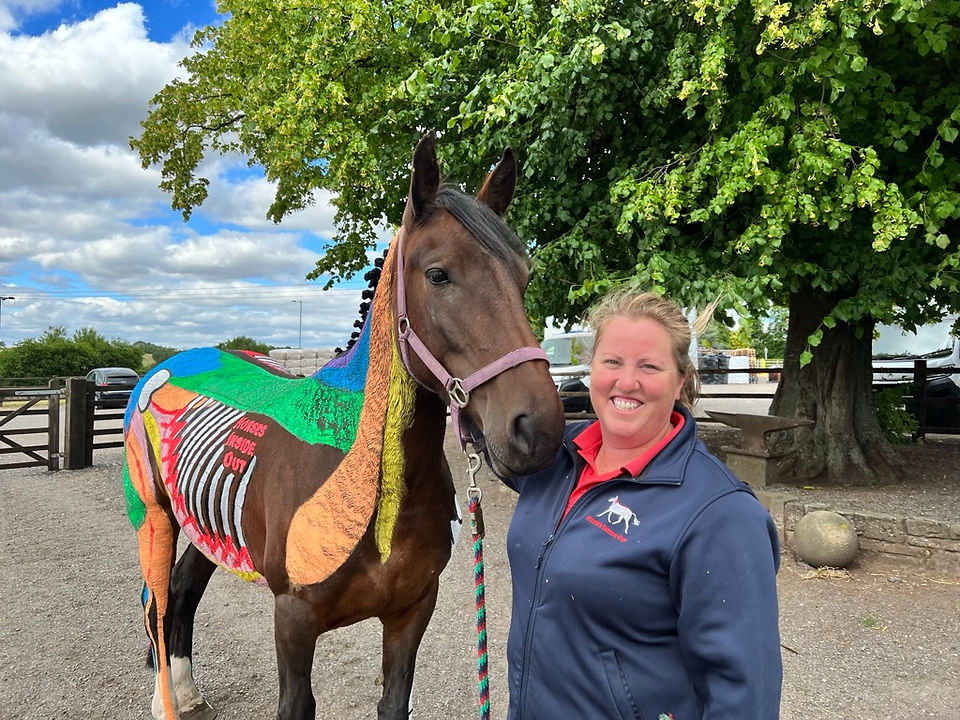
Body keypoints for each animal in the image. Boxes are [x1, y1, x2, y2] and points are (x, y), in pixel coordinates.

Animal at [122, 134, 566, 720]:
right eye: (438, 274)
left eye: (524, 277)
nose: (538, 430)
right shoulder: (293, 620)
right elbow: (296, 704)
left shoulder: (411, 611)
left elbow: (394, 700)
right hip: (156, 519)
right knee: (156, 599)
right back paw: (165, 698)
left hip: (206, 524)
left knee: (183, 591)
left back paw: (187, 689)